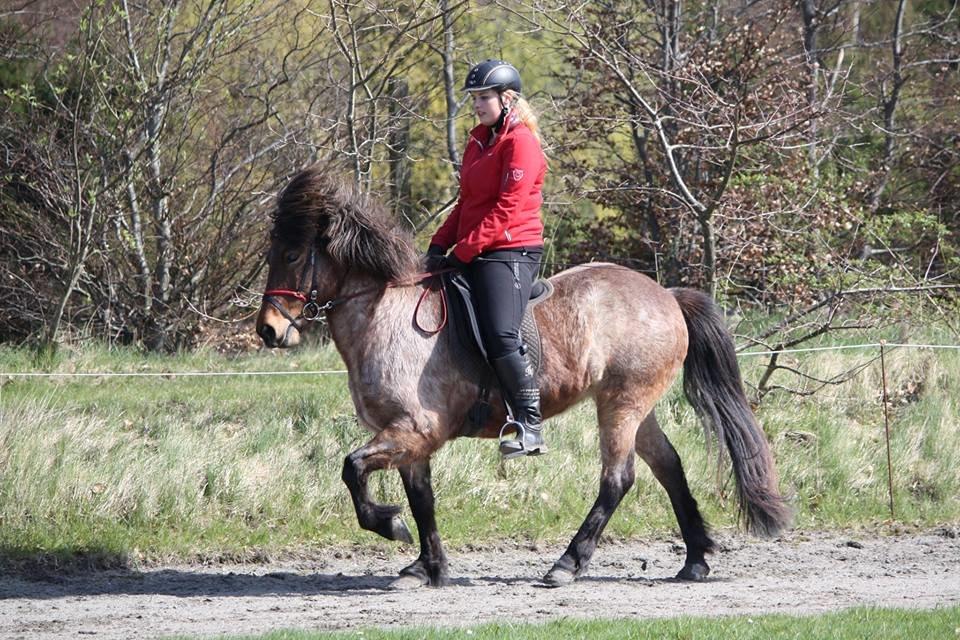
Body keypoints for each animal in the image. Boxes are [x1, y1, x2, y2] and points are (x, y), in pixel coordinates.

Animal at [253, 166, 788, 592]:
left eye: (294, 255)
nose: (269, 330)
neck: (385, 312)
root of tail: (667, 296)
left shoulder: (414, 430)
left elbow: (353, 469)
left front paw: (389, 525)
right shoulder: (409, 439)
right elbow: (421, 499)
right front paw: (426, 567)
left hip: (621, 404)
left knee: (618, 478)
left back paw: (566, 565)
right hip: (636, 404)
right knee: (669, 467)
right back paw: (695, 562)